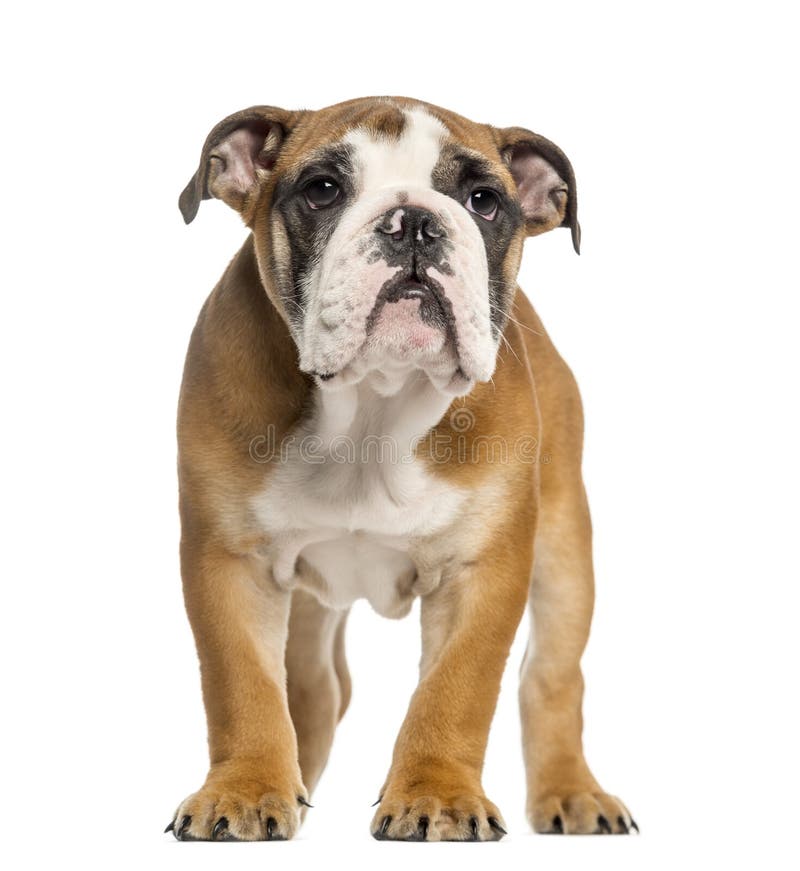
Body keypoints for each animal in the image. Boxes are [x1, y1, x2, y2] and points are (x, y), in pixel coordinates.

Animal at [166, 97, 636, 844]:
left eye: (483, 201)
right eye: (323, 189)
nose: (414, 220)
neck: (372, 409)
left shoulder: (483, 567)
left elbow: (455, 690)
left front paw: (437, 796)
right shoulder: (228, 559)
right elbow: (242, 683)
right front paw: (243, 790)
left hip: (565, 549)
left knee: (553, 676)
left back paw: (573, 790)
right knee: (311, 689)